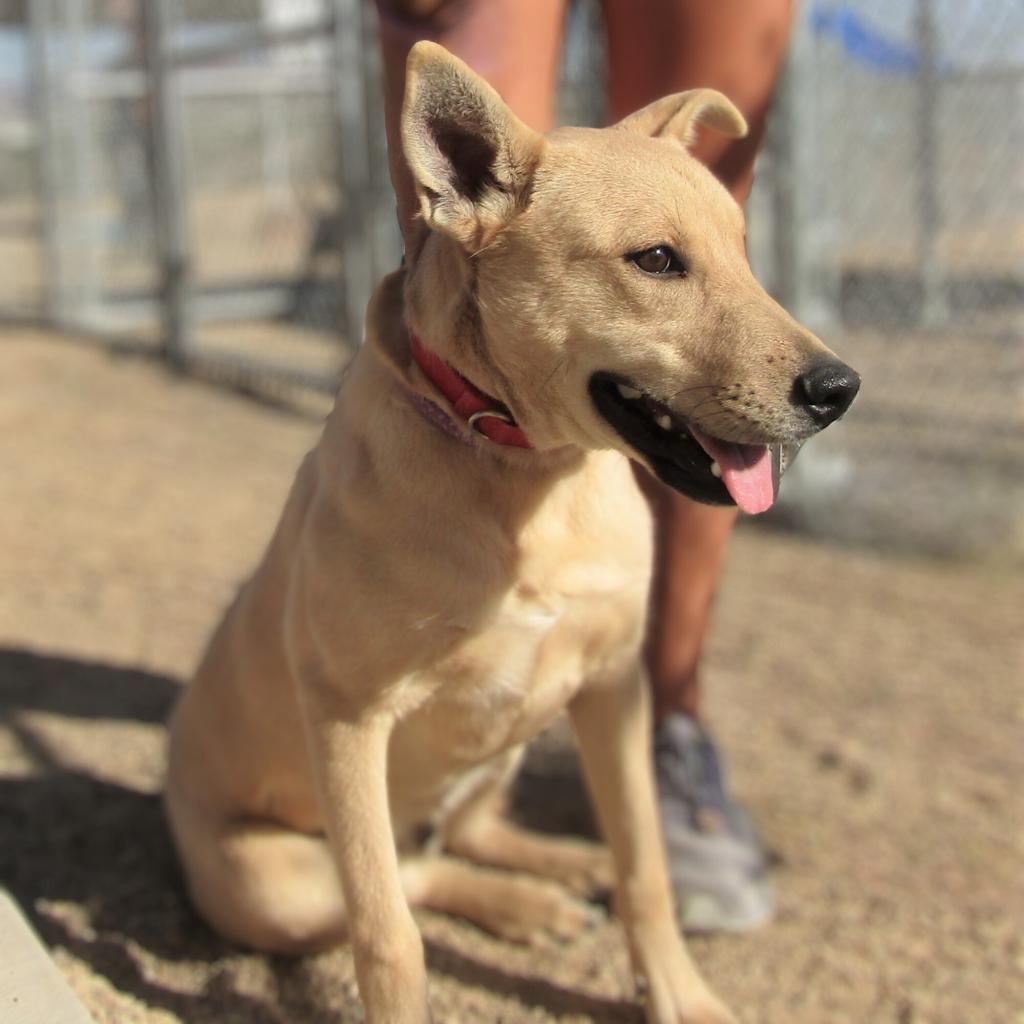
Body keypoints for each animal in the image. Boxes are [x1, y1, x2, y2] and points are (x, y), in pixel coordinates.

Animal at [163, 41, 860, 1024]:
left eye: (744, 252)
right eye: (656, 260)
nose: (840, 391)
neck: (527, 478)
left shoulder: (613, 686)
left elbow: (645, 867)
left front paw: (678, 991)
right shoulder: (346, 719)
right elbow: (389, 937)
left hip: (516, 737)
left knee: (466, 833)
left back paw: (558, 870)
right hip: (272, 878)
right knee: (411, 874)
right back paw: (524, 901)